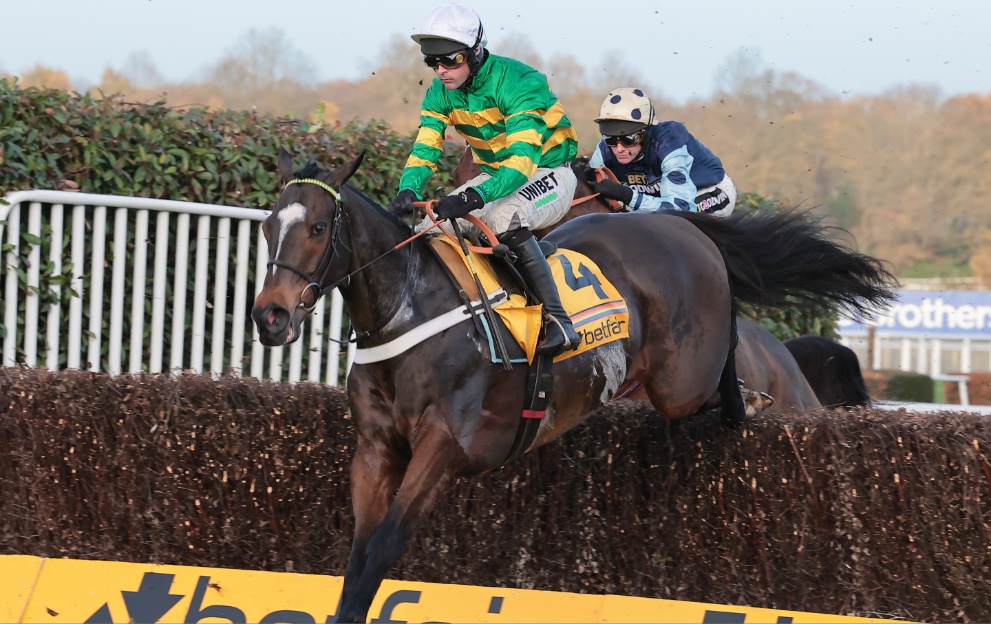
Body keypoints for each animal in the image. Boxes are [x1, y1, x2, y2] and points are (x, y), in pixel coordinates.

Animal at [252, 149, 896, 620]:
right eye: (267, 228)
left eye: (317, 228)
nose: (271, 316)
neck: (410, 311)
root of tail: (681, 225)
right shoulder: (376, 450)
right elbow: (358, 558)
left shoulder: (444, 445)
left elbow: (384, 547)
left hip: (682, 377)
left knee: (721, 375)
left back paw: (752, 404)